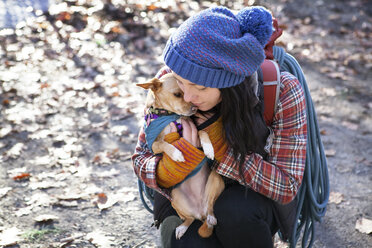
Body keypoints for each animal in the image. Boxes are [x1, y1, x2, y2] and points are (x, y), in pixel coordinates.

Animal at [137, 73, 224, 238]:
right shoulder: (154, 146)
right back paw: (182, 228)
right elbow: (164, 144)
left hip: (216, 179)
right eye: (177, 94)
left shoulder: (194, 129)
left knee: (211, 207)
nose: (195, 108)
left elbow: (202, 132)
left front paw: (209, 148)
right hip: (175, 199)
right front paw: (176, 153)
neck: (169, 116)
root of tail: (200, 211)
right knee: (189, 219)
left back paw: (211, 218)